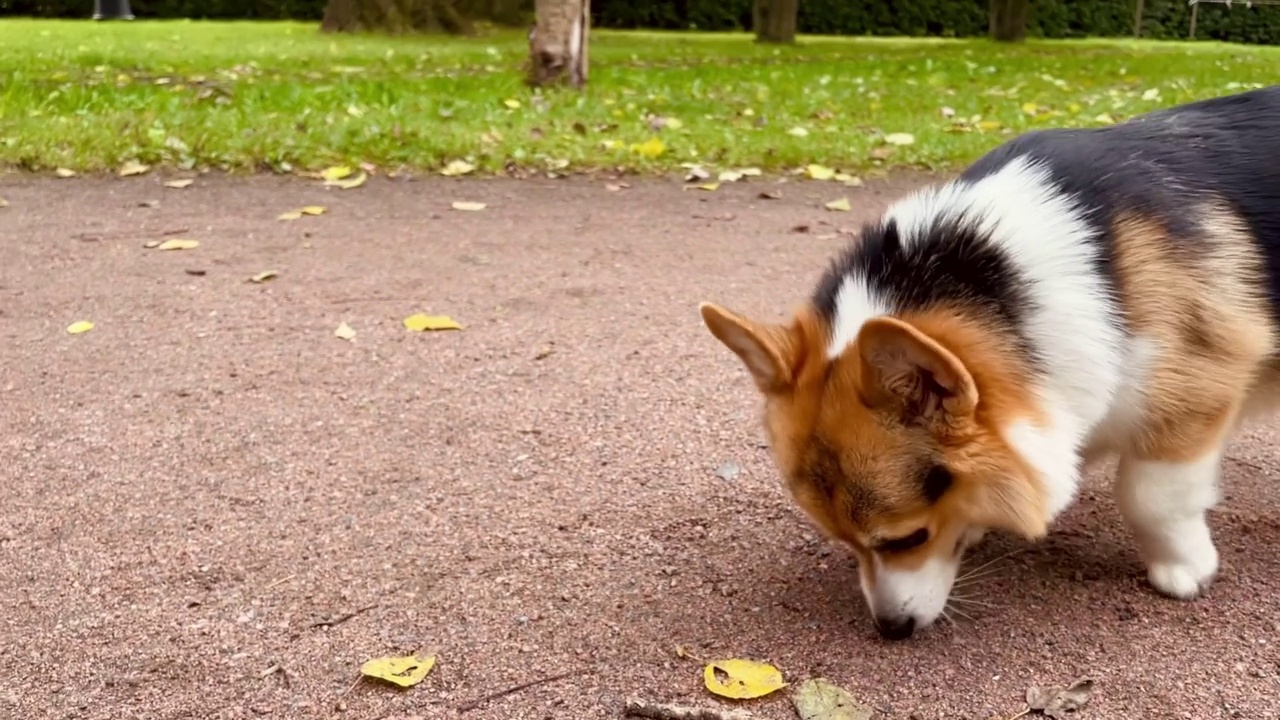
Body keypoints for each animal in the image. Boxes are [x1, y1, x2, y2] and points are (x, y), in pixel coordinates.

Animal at [696, 85, 1280, 638]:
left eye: (908, 538)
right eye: (844, 541)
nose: (891, 631)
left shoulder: (1195, 390)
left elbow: (1150, 495)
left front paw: (1184, 569)